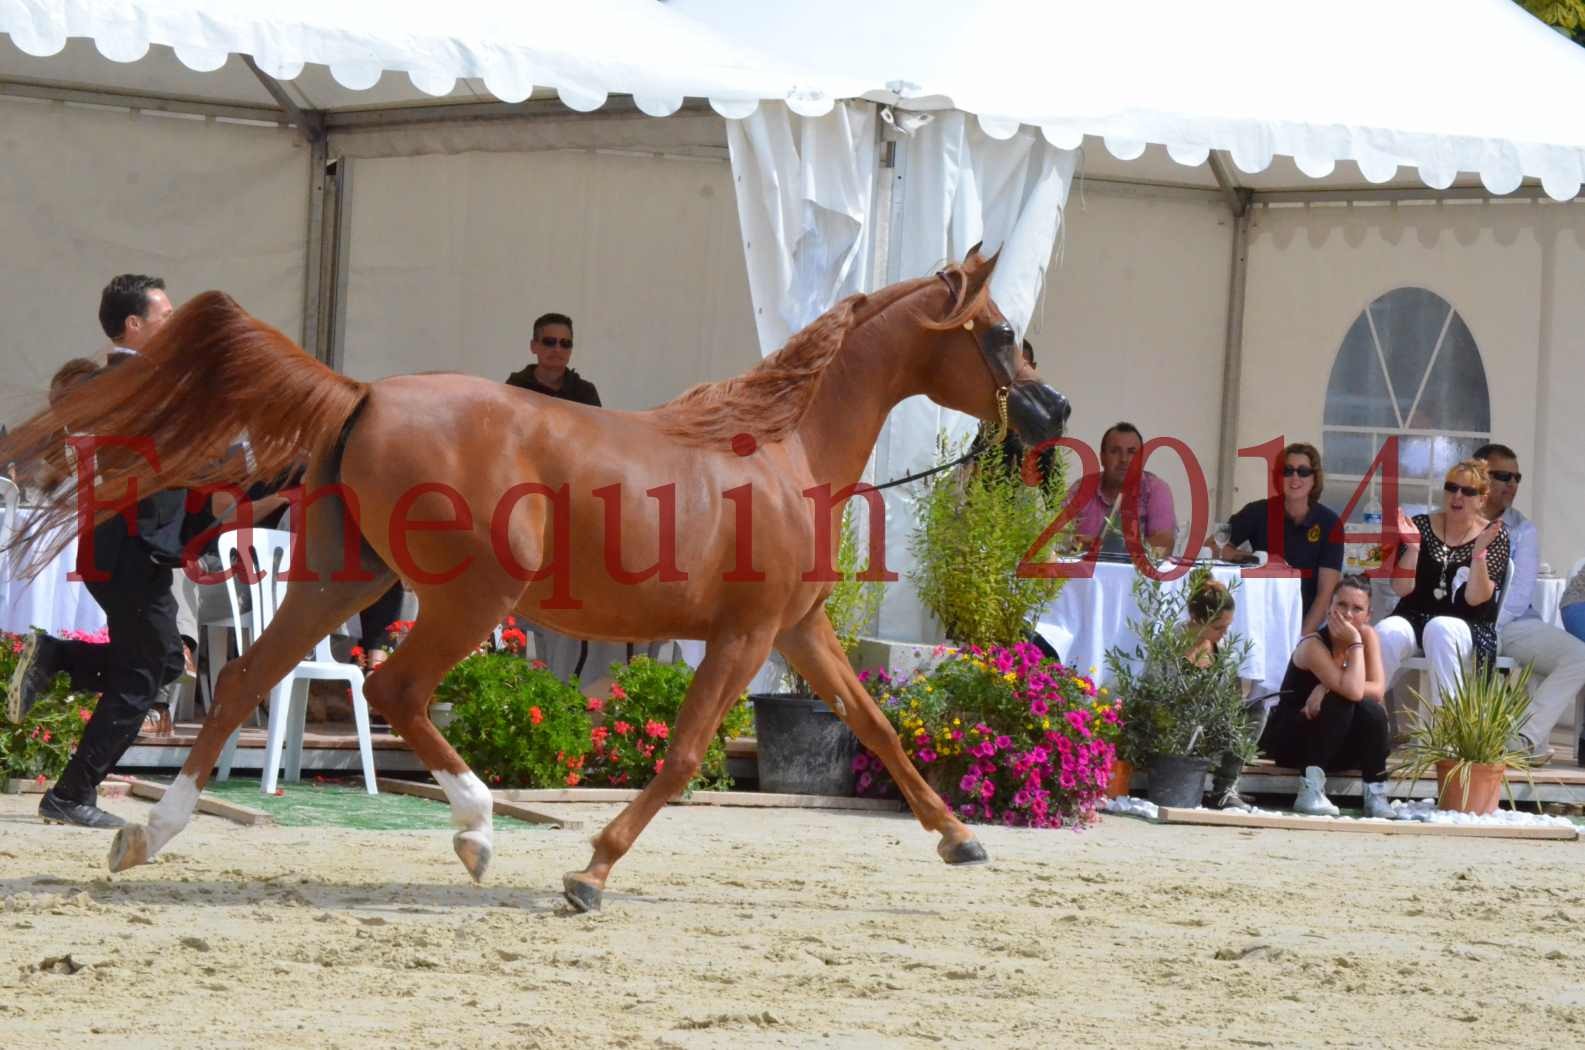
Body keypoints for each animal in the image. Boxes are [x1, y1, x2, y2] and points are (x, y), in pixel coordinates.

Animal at [3, 249, 1065, 913]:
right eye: (997, 331)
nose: (1051, 412)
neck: (782, 447)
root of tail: (364, 394)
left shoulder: (800, 631)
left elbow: (876, 725)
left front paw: (959, 838)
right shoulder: (747, 633)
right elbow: (682, 757)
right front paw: (590, 873)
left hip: (343, 582)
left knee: (243, 680)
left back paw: (147, 836)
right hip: (472, 597)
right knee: (393, 689)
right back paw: (476, 831)